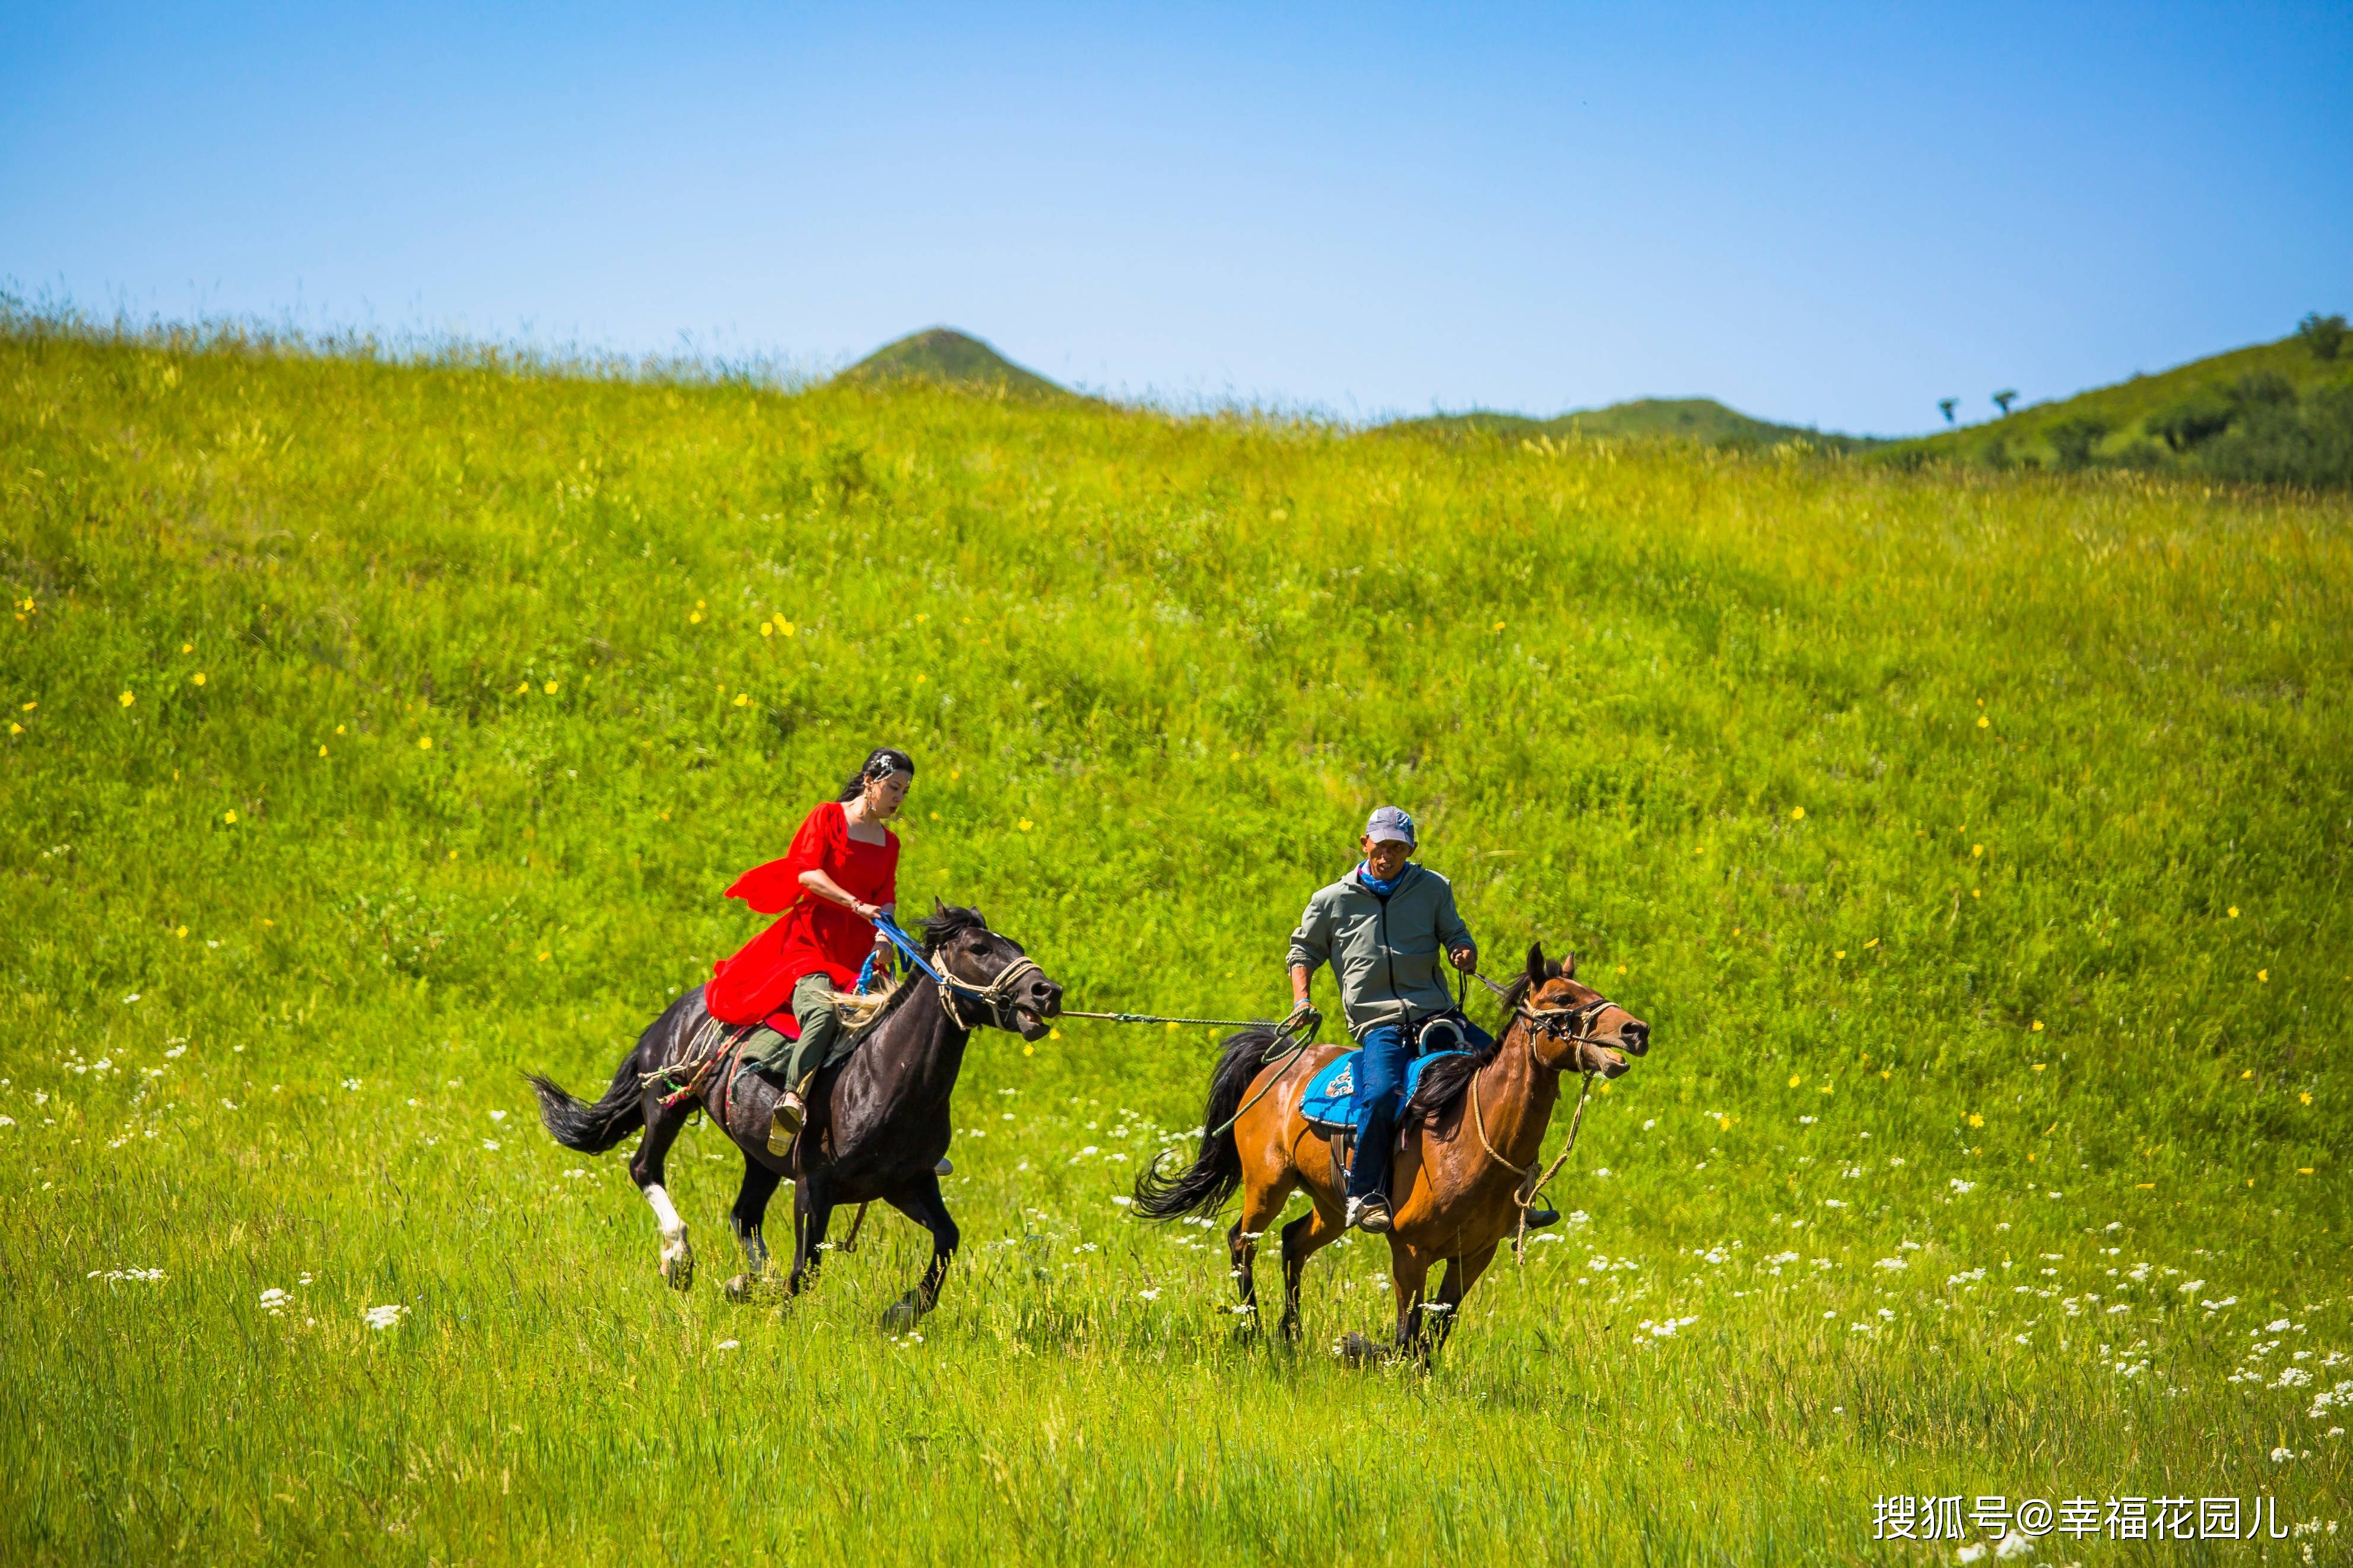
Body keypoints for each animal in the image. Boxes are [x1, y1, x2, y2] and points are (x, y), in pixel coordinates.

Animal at [529, 902, 1063, 1335]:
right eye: (979, 947)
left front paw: (902, 1311)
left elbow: (947, 1239)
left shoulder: (907, 1183)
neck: (883, 1075)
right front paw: (778, 1318)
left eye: (1016, 947)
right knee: (645, 1168)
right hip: (665, 1103)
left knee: (744, 1214)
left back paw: (746, 1279)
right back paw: (679, 1259)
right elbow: (805, 1269)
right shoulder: (815, 1185)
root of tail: (673, 1012)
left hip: (760, 1155)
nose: (1047, 991)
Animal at [1129, 944, 1647, 1363]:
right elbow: (1407, 1332)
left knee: (1293, 1240)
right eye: (1562, 1000)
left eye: (1592, 991)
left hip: (1333, 1204)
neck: (1468, 1144)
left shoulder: (1474, 1255)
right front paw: (1375, 1356)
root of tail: (1278, 1062)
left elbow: (1436, 1330)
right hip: (1267, 1183)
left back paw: (1289, 1334)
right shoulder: (1409, 1250)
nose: (1635, 1029)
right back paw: (1249, 1326)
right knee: (1243, 1239)